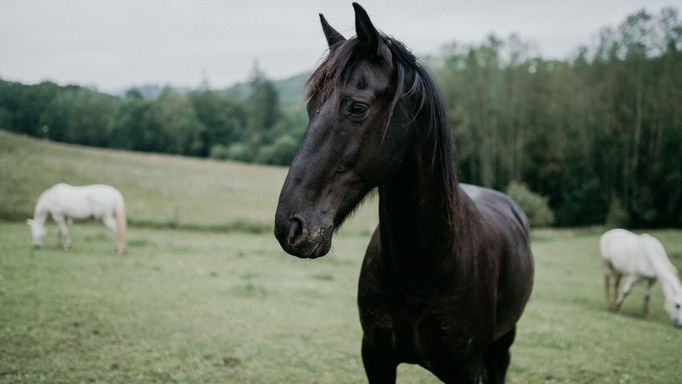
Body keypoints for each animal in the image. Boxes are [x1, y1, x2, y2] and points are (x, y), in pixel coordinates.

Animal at [274, 3, 532, 380]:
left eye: (357, 107)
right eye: (311, 108)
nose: (290, 227)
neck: (421, 267)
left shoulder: (465, 368)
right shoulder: (376, 356)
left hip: (503, 346)